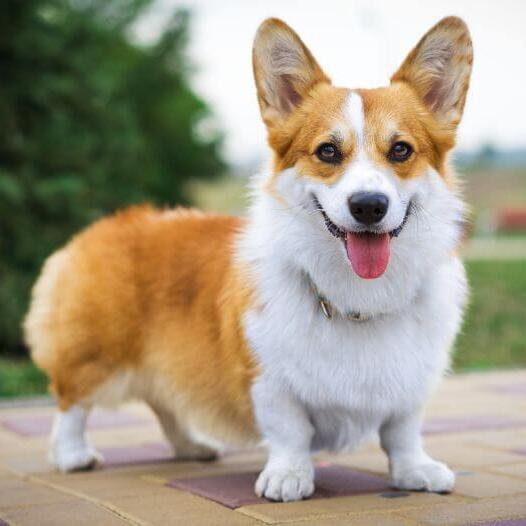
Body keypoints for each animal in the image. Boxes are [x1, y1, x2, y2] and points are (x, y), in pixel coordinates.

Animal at [23, 15, 474, 504]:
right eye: (328, 151)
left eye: (401, 150)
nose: (369, 206)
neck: (356, 297)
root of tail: (104, 225)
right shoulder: (269, 377)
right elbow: (291, 430)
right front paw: (289, 476)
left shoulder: (410, 381)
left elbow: (402, 432)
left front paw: (415, 471)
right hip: (97, 354)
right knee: (71, 400)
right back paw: (73, 455)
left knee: (166, 401)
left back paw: (193, 446)